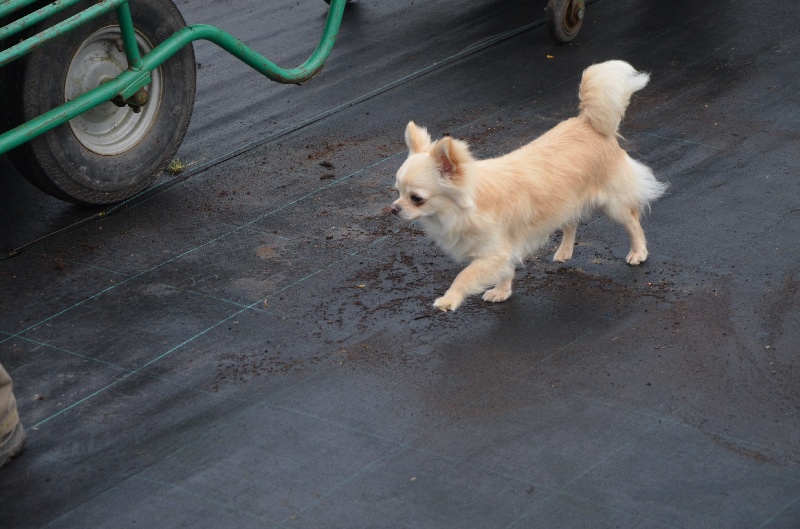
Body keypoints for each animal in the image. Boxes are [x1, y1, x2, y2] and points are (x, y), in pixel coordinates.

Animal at [390, 59, 664, 312]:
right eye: (397, 192)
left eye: (416, 198)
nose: (393, 209)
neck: (461, 209)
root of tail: (587, 122)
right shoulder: (504, 252)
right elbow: (506, 271)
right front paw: (502, 292)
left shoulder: (495, 253)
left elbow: (465, 275)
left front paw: (449, 300)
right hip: (566, 202)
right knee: (572, 222)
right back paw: (564, 252)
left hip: (612, 204)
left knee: (632, 221)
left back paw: (638, 252)